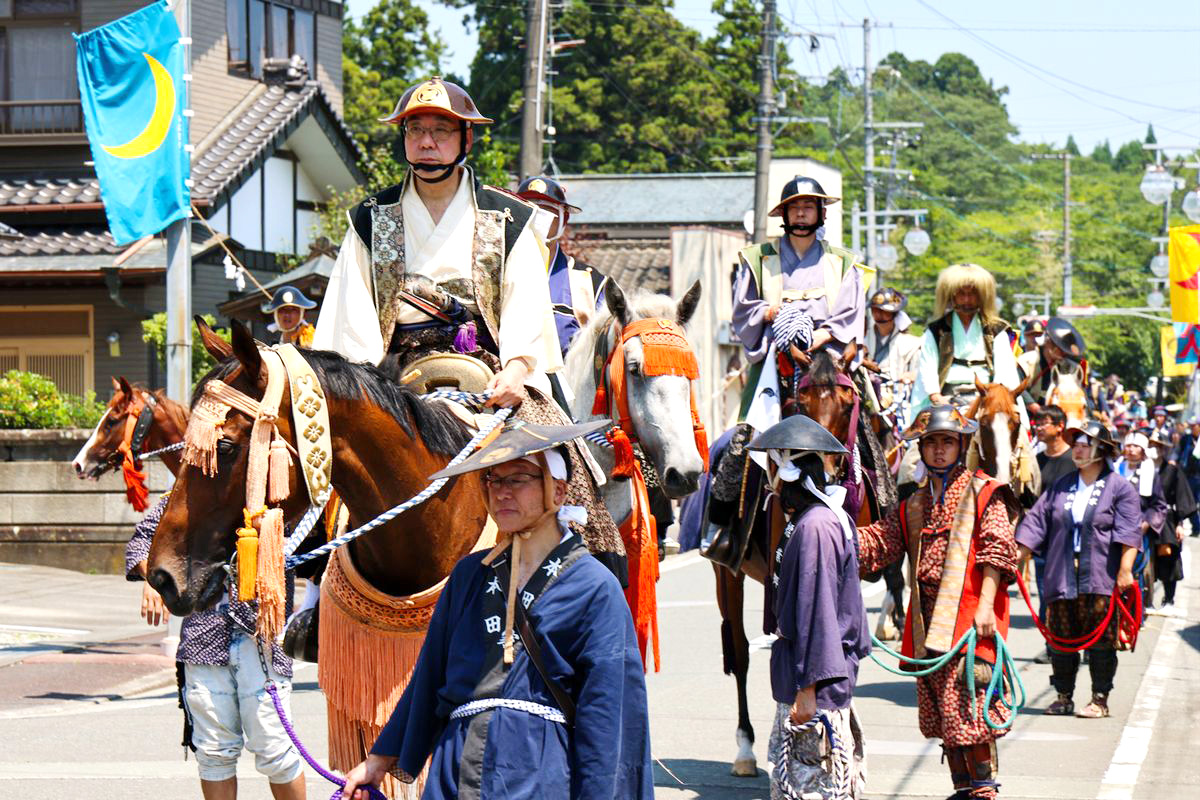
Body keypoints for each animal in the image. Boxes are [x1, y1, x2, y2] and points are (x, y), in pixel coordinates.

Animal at [710, 350, 892, 777]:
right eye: (800, 403)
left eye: (848, 403)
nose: (821, 467)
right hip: (727, 574)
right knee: (740, 653)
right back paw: (745, 750)